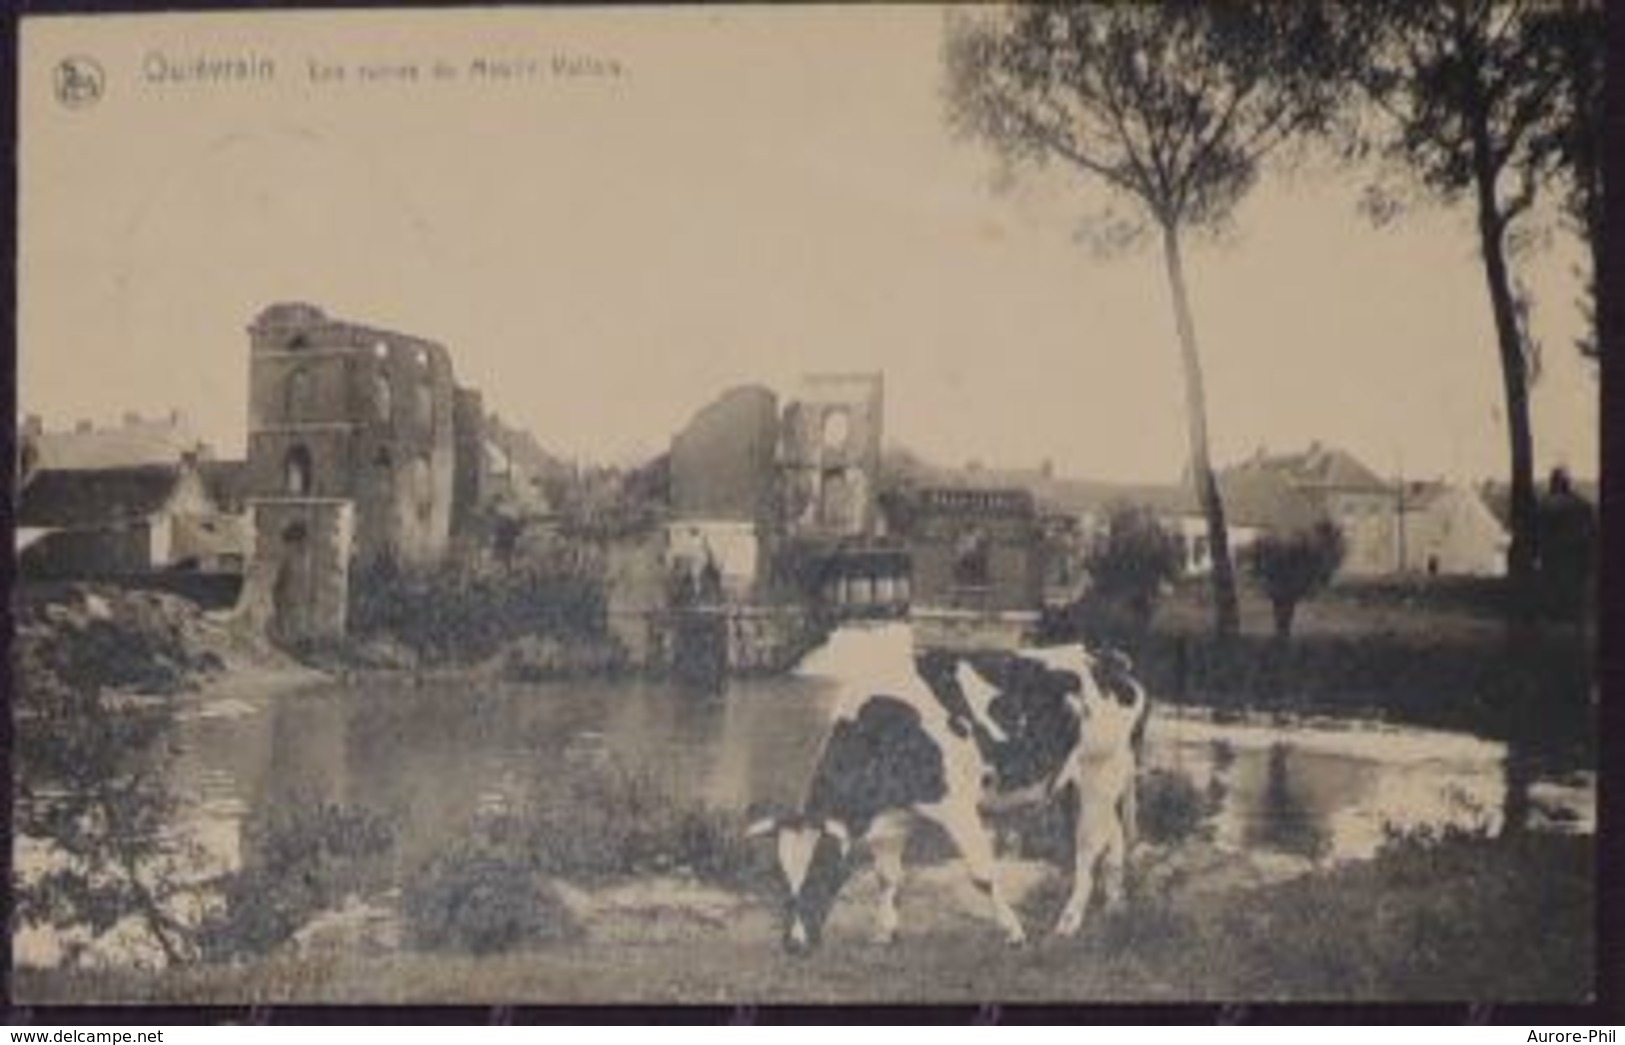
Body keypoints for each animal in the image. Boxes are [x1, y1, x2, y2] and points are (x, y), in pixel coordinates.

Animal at [750, 620, 1157, 955]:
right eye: (782, 878)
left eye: (821, 872)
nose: (794, 945)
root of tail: (1108, 659)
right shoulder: (894, 813)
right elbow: (887, 876)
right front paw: (885, 933)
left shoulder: (955, 805)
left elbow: (982, 874)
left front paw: (1013, 931)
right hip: (1091, 779)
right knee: (1113, 835)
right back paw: (1116, 906)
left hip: (1100, 768)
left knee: (1088, 847)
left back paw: (1069, 922)